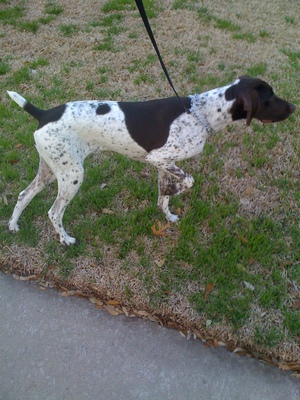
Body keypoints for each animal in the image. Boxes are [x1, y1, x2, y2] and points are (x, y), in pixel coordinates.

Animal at [7, 75, 296, 244]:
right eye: (270, 97)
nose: (294, 107)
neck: (202, 112)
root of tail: (43, 113)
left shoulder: (164, 164)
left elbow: (163, 197)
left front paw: (168, 214)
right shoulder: (158, 158)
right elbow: (189, 181)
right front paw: (175, 190)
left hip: (50, 169)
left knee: (24, 195)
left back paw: (12, 225)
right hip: (72, 176)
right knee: (53, 212)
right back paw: (65, 239)